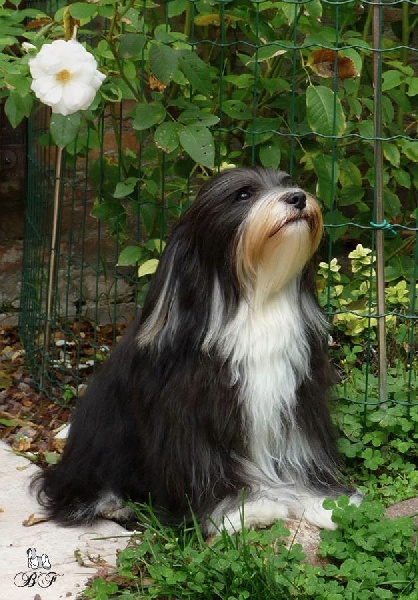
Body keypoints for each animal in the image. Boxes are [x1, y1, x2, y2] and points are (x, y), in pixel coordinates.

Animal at [33, 167, 357, 534]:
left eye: (289, 182)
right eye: (243, 194)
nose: (298, 198)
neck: (255, 300)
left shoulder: (297, 400)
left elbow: (300, 453)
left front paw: (322, 502)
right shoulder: (191, 415)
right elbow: (205, 468)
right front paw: (242, 510)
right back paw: (114, 504)